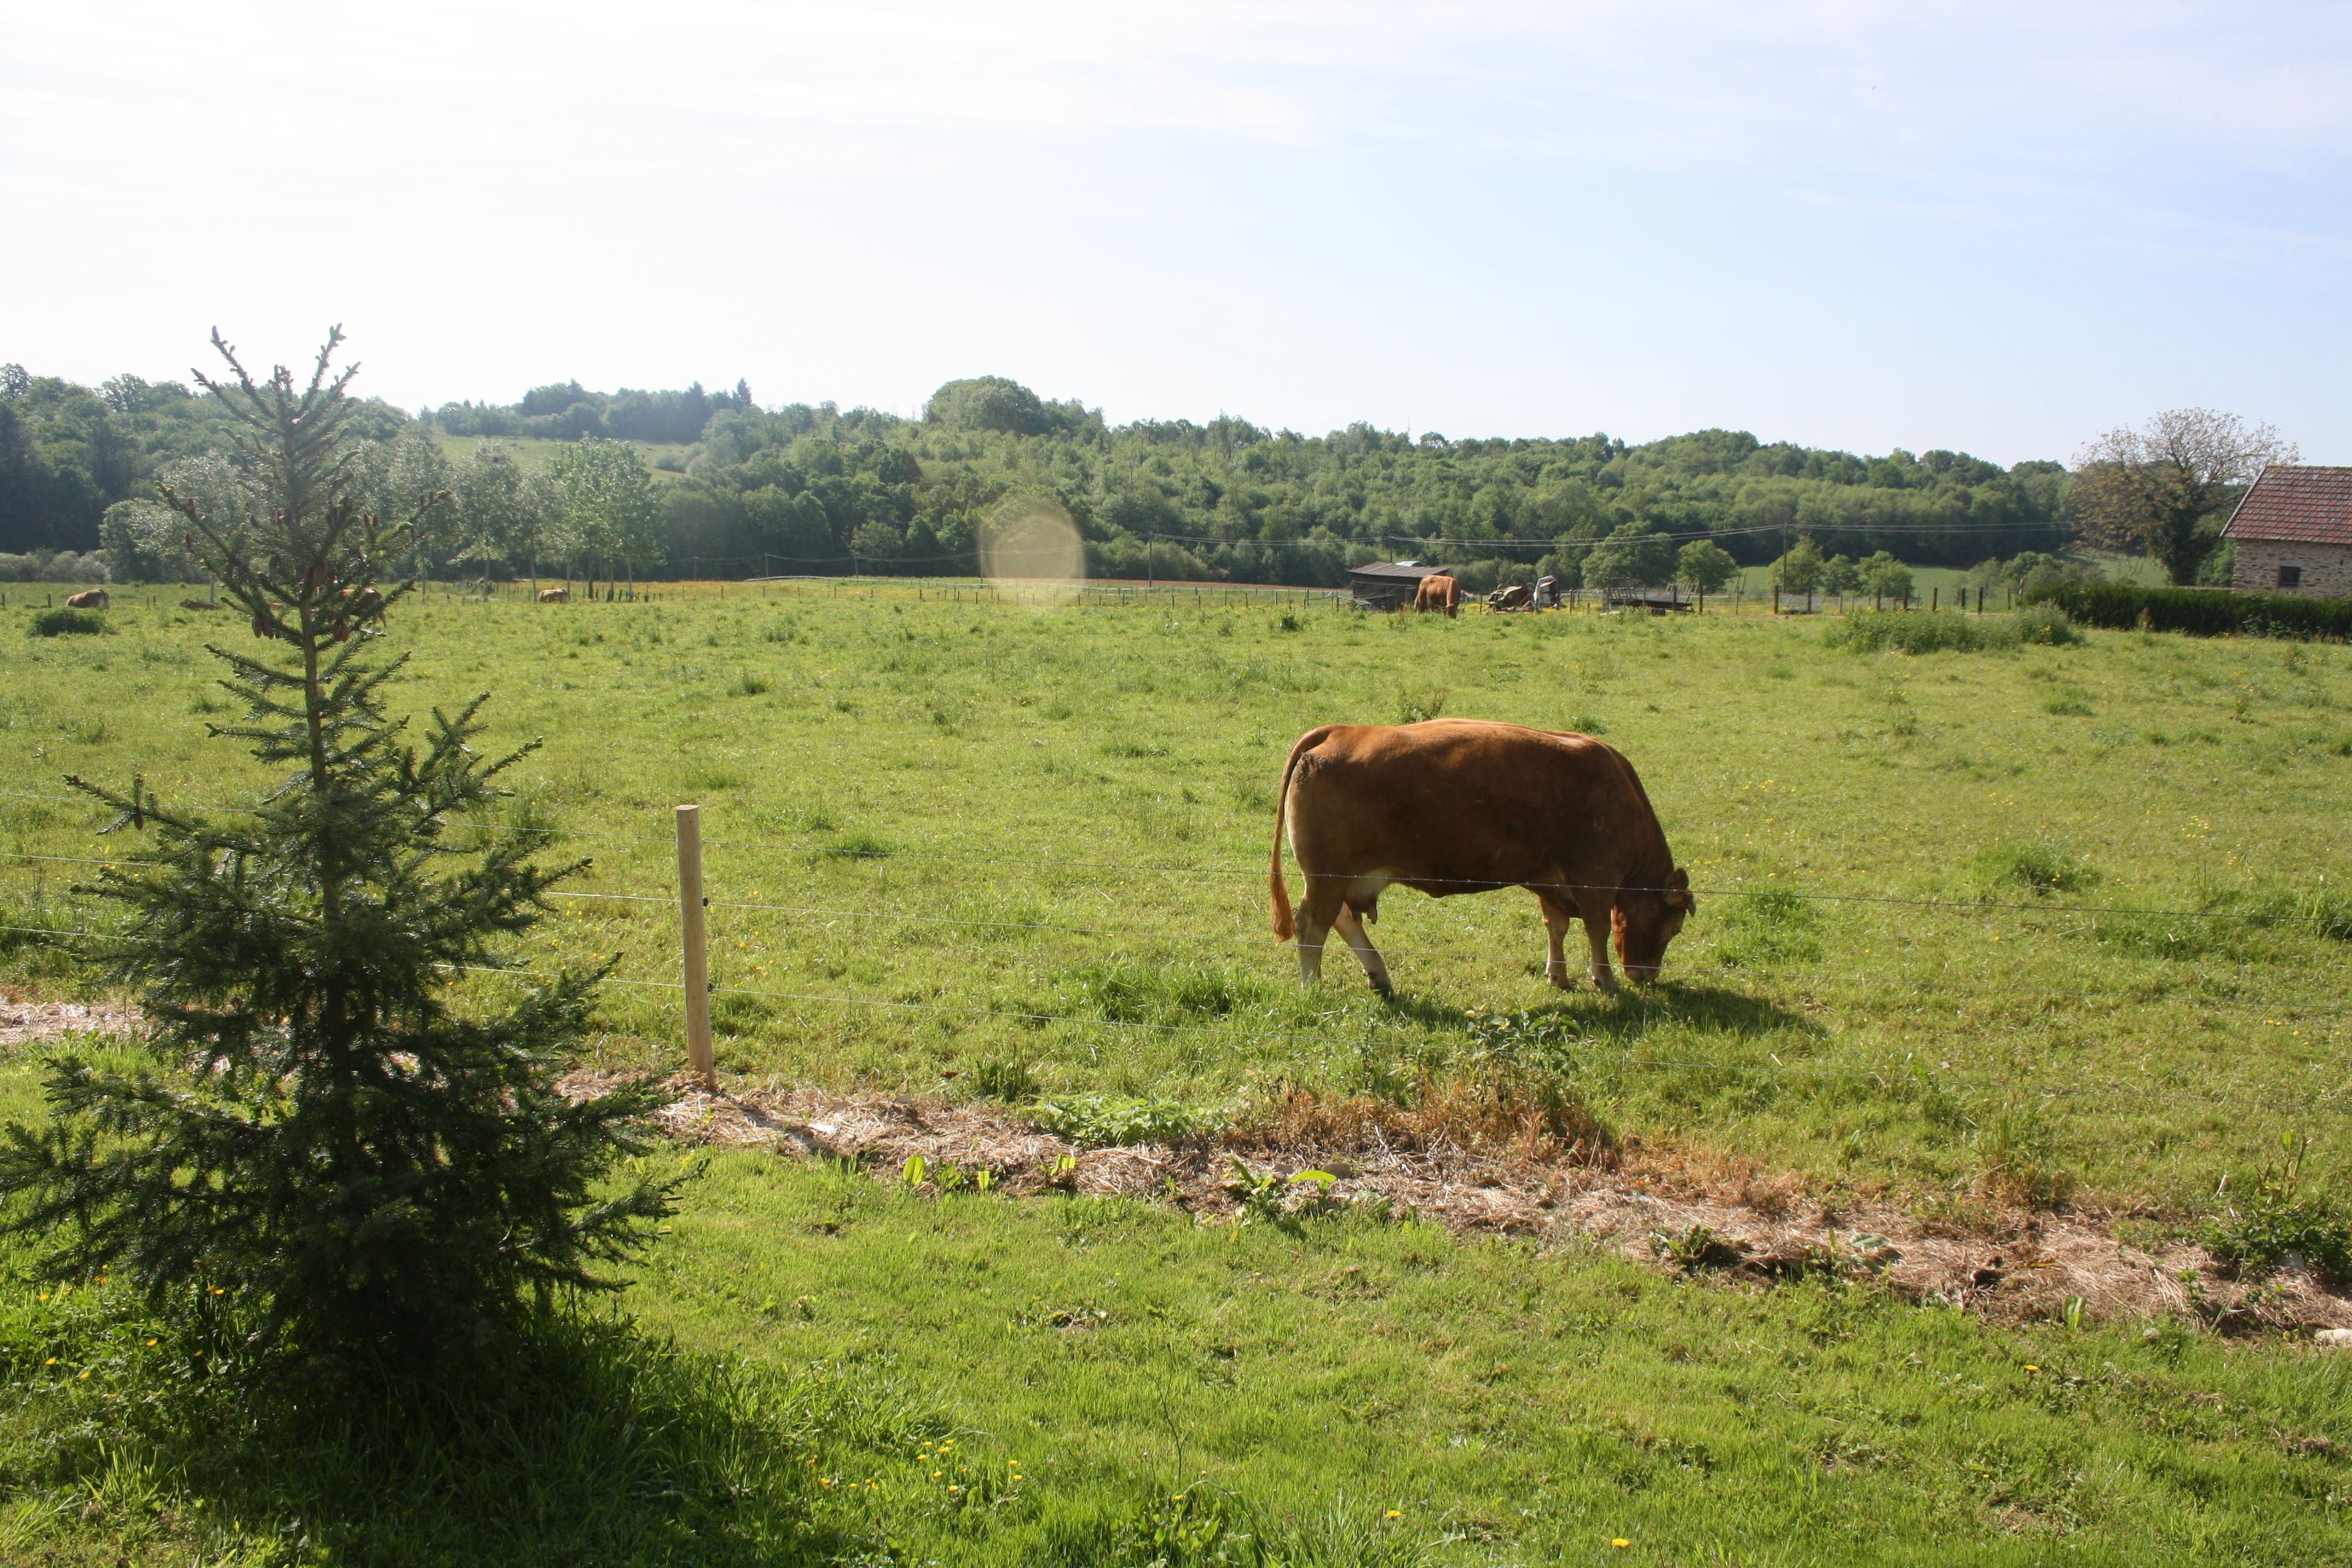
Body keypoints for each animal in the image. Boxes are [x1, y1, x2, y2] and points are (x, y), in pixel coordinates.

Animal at [1268, 719, 1693, 996]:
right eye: (1674, 929)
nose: (1646, 976)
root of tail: (1343, 730)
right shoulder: (1596, 878)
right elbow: (1597, 930)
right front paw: (1605, 981)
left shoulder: (1550, 879)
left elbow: (1555, 927)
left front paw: (1558, 976)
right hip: (1327, 876)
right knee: (1313, 926)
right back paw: (1312, 987)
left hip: (1341, 878)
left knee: (1340, 920)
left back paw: (1378, 975)